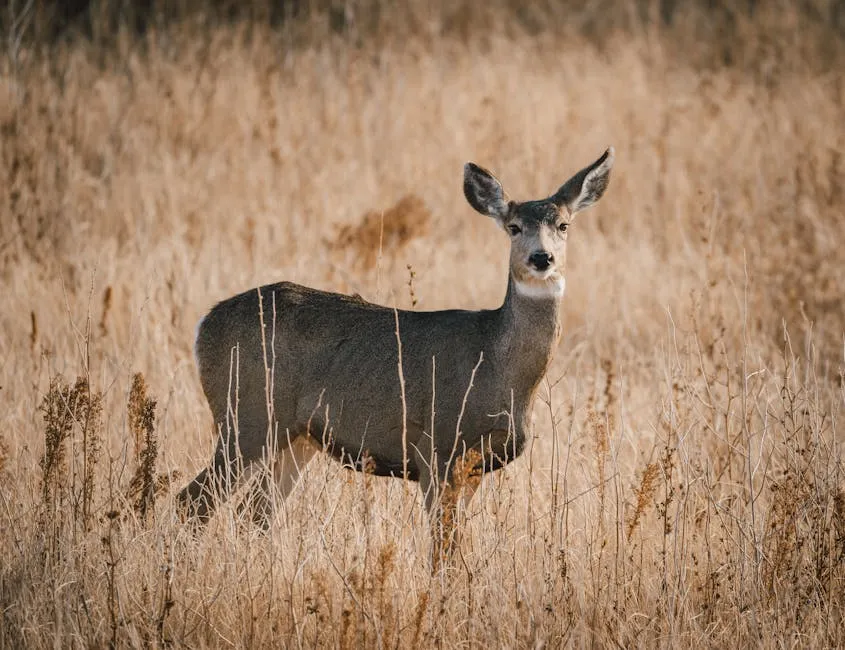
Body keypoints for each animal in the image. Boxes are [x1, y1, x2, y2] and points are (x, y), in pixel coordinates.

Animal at [180, 147, 612, 560]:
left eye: (563, 225)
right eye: (514, 227)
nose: (541, 258)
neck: (497, 366)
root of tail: (204, 324)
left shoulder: (475, 468)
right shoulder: (436, 449)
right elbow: (443, 549)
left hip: (294, 438)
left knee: (253, 513)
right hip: (246, 416)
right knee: (192, 503)